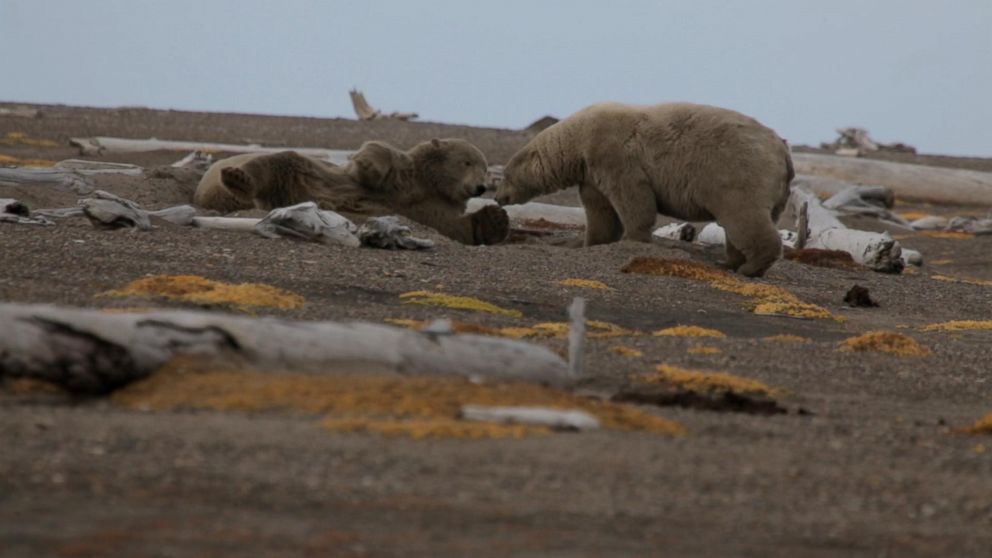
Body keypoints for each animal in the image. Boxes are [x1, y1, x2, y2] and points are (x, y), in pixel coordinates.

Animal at [192, 139, 512, 246]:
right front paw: (371, 164)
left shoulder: (438, 209)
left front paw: (497, 218)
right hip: (303, 175)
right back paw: (236, 176)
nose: (481, 186)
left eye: (485, 168)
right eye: (467, 161)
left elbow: (458, 227)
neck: (431, 186)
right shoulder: (404, 178)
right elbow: (378, 155)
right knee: (280, 161)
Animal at [500, 103, 796, 278]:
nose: (498, 197)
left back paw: (749, 267)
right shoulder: (591, 174)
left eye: (504, 175)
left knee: (743, 216)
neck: (579, 138)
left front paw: (634, 239)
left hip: (736, 171)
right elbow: (600, 210)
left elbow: (632, 197)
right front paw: (591, 242)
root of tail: (782, 149)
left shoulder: (613, 154)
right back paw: (730, 262)